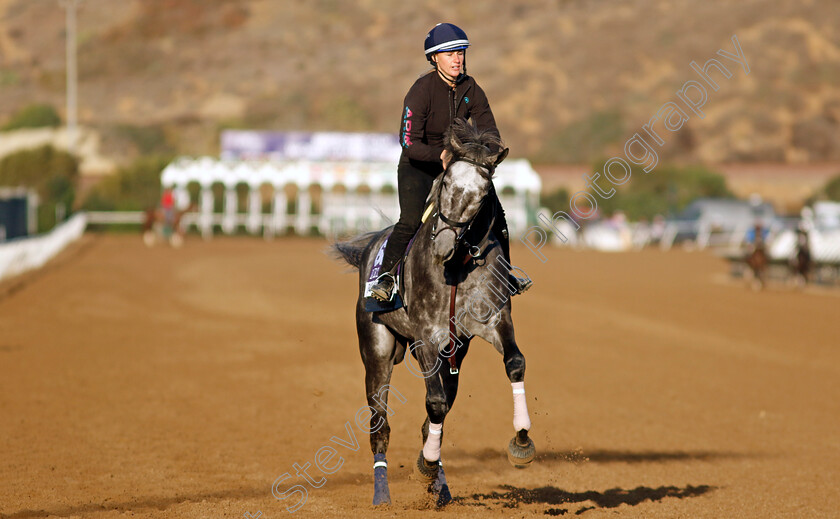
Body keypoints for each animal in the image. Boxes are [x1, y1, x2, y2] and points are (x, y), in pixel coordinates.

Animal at [332, 119, 536, 508]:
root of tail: (368, 249)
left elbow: (515, 363)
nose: (442, 244)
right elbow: (436, 404)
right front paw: (425, 465)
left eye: (483, 193)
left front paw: (522, 442)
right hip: (377, 352)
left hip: (454, 355)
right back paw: (383, 494)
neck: (458, 265)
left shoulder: (491, 323)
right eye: (444, 184)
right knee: (379, 426)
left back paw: (440, 487)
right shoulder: (427, 337)